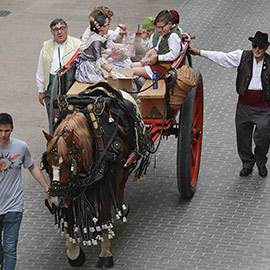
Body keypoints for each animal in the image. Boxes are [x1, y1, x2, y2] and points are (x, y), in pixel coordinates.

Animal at [42, 108, 141, 268]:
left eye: (67, 163)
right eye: (48, 164)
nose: (56, 199)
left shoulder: (104, 185)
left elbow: (103, 217)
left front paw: (105, 254)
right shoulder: (67, 191)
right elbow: (68, 223)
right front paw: (74, 254)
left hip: (124, 165)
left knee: (122, 183)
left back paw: (123, 207)